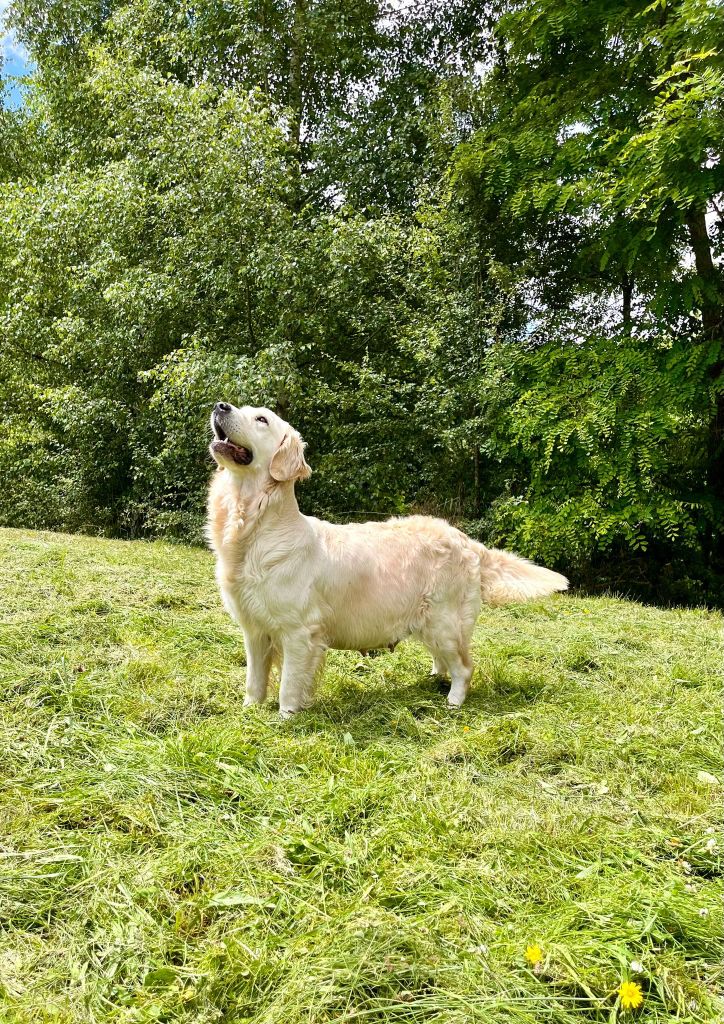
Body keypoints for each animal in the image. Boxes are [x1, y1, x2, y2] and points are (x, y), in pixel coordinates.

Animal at [206, 403, 569, 716]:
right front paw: (249, 711)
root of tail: (465, 539)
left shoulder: (299, 631)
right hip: (428, 622)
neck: (254, 526)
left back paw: (453, 702)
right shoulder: (254, 631)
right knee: (445, 661)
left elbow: (288, 686)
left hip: (445, 622)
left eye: (262, 419)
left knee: (465, 667)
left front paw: (285, 718)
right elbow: (254, 679)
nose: (220, 406)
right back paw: (433, 679)